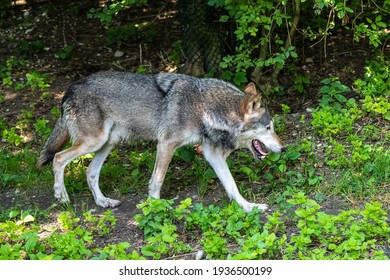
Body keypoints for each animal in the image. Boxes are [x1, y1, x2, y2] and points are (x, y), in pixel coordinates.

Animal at [36, 71, 284, 212]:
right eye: (269, 128)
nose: (283, 147)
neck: (205, 107)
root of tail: (71, 88)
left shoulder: (211, 154)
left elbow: (232, 186)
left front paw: (250, 207)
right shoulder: (166, 145)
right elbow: (157, 181)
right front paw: (154, 207)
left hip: (107, 143)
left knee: (90, 172)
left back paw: (103, 202)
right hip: (93, 142)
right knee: (58, 158)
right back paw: (62, 197)